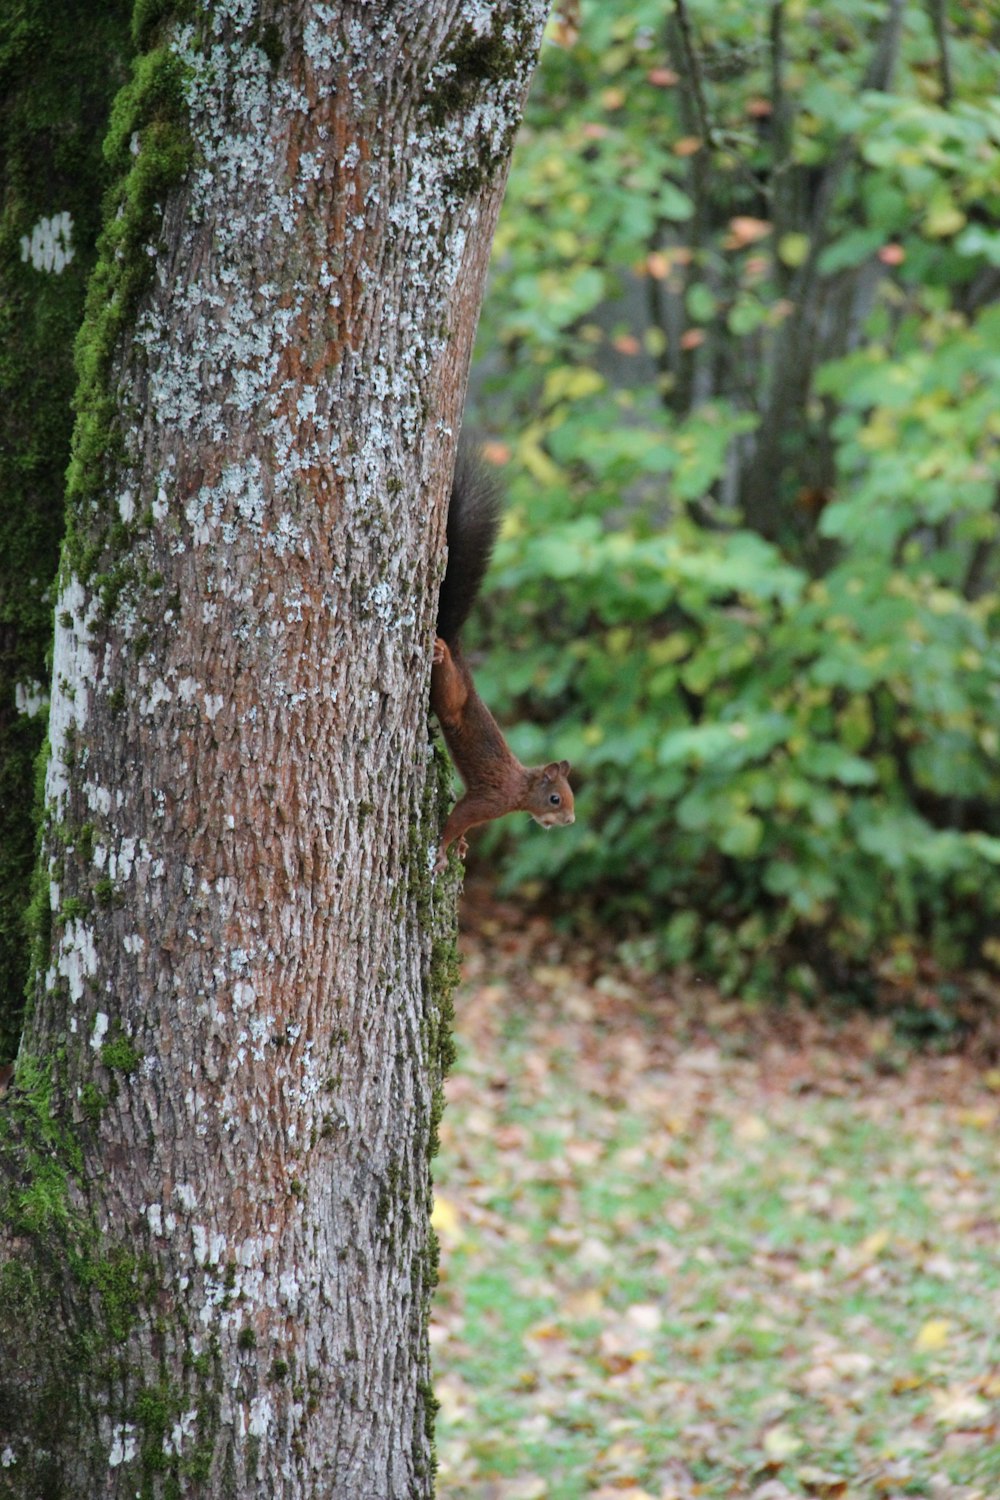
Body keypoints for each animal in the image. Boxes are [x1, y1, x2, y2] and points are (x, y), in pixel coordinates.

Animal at [431, 453, 578, 876]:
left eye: (570, 796)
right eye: (556, 799)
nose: (569, 821)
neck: (521, 790)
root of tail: (460, 653)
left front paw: (462, 845)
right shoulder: (489, 799)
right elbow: (458, 818)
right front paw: (444, 850)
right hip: (454, 695)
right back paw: (439, 649)